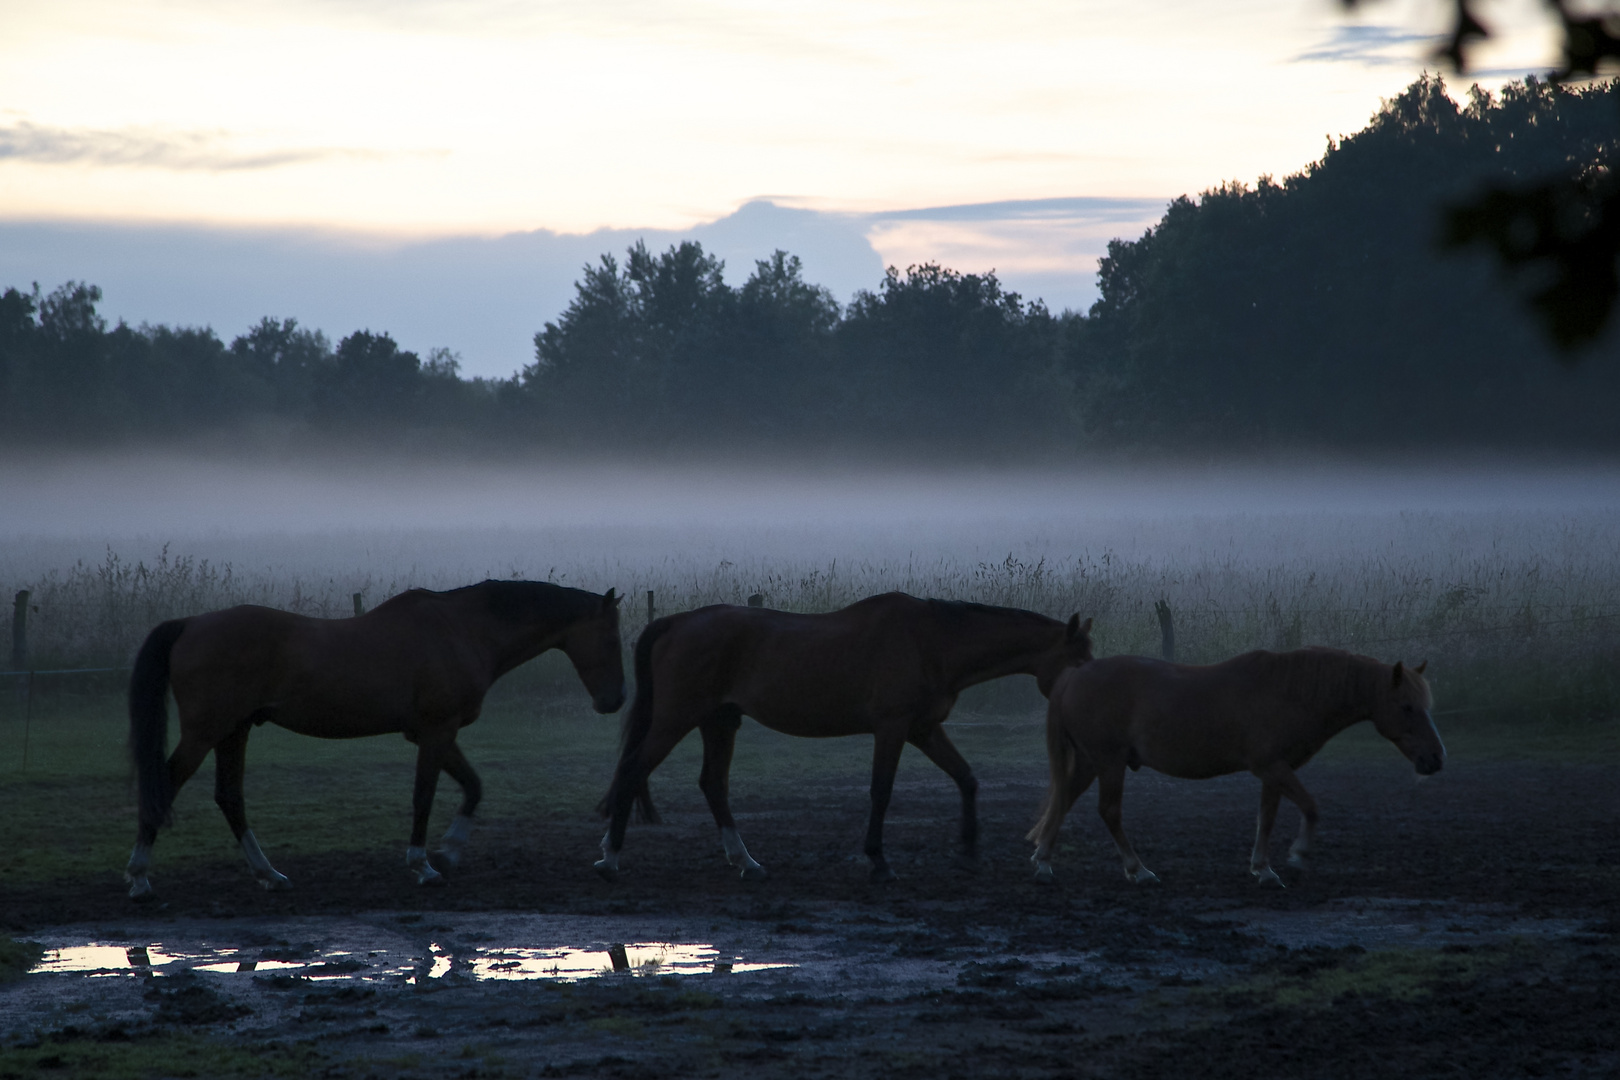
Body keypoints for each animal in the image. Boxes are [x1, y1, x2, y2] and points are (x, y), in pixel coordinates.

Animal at [121, 579, 618, 900]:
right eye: (612, 635)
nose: (615, 700)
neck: (461, 629)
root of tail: (191, 623)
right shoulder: (436, 732)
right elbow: (424, 796)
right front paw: (423, 865)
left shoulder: (433, 733)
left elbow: (474, 787)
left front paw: (450, 851)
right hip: (205, 733)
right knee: (167, 784)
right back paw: (139, 877)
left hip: (234, 731)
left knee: (230, 797)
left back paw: (269, 874)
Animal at [592, 595, 1088, 880]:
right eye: (1079, 657)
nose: (1085, 699)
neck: (933, 640)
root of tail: (676, 623)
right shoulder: (892, 728)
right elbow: (881, 791)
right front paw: (878, 860)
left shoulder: (923, 729)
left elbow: (966, 778)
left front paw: (967, 850)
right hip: (677, 718)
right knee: (635, 769)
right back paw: (611, 858)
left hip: (719, 722)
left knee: (713, 785)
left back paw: (745, 861)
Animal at [1023, 650, 1445, 887]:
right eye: (1407, 706)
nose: (1436, 759)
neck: (1289, 693)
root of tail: (1074, 675)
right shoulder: (1272, 767)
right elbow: (1311, 807)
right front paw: (1298, 855)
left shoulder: (1274, 771)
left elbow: (1267, 819)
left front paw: (1263, 869)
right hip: (1109, 762)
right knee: (1108, 811)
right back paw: (1138, 870)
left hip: (1092, 762)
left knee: (1063, 800)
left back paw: (1044, 863)